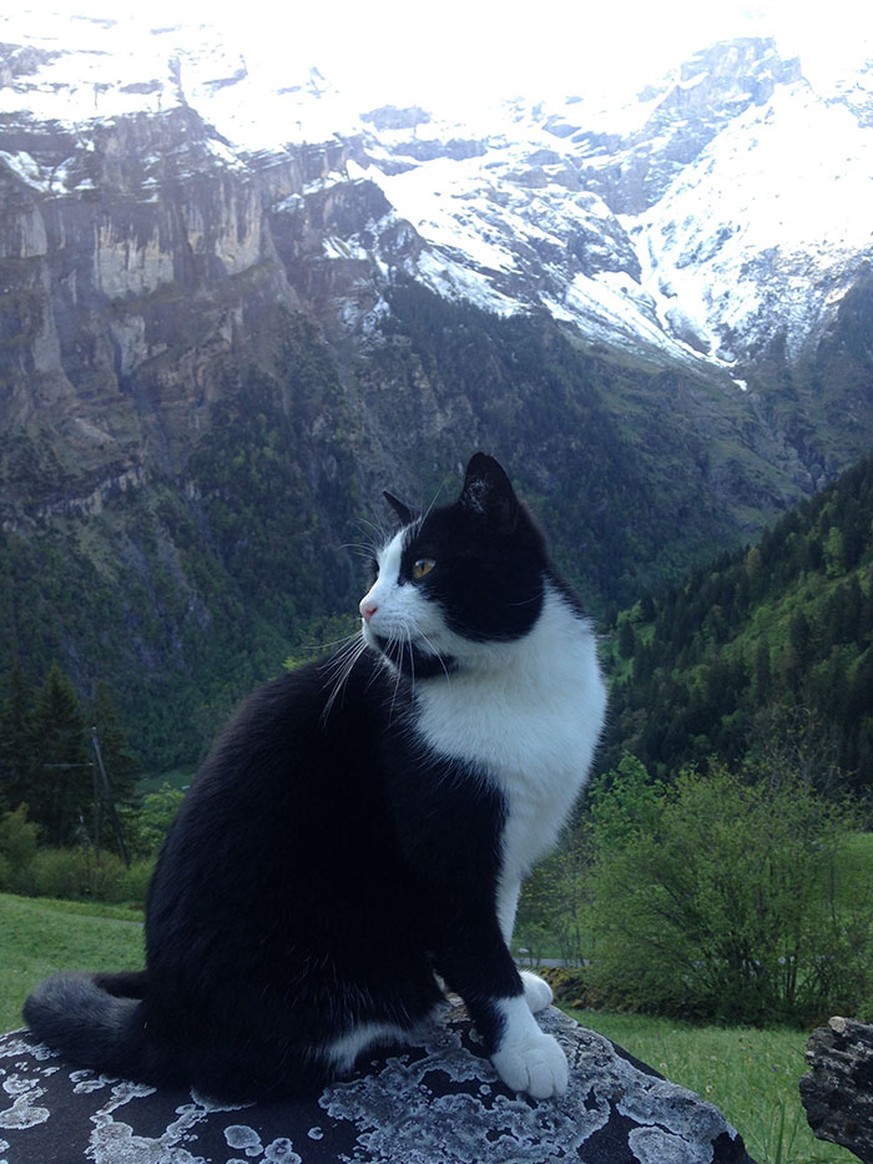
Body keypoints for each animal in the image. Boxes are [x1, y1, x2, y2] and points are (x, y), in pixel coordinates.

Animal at [22, 451, 609, 1098]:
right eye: (375, 572)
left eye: (423, 566)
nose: (365, 607)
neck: (510, 681)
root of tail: (160, 1018)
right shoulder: (445, 847)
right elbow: (476, 948)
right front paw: (524, 1047)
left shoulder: (504, 852)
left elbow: (498, 925)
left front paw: (520, 995)